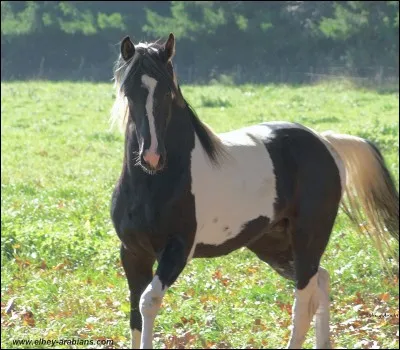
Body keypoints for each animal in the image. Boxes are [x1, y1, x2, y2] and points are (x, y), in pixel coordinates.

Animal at [109, 33, 400, 350]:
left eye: (167, 92)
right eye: (129, 92)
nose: (152, 157)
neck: (153, 186)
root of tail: (326, 141)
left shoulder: (177, 251)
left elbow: (148, 302)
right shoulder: (133, 253)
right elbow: (134, 311)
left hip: (308, 236)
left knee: (304, 299)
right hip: (272, 243)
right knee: (321, 280)